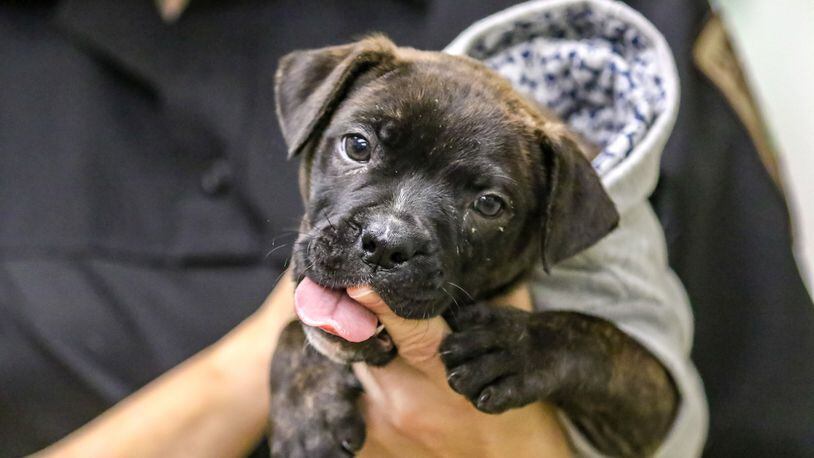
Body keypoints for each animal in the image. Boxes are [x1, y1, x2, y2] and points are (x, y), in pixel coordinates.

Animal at [270, 36, 680, 458]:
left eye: (488, 205)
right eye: (357, 145)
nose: (385, 243)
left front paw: (514, 348)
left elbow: (596, 339)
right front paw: (309, 412)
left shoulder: (654, 407)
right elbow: (293, 328)